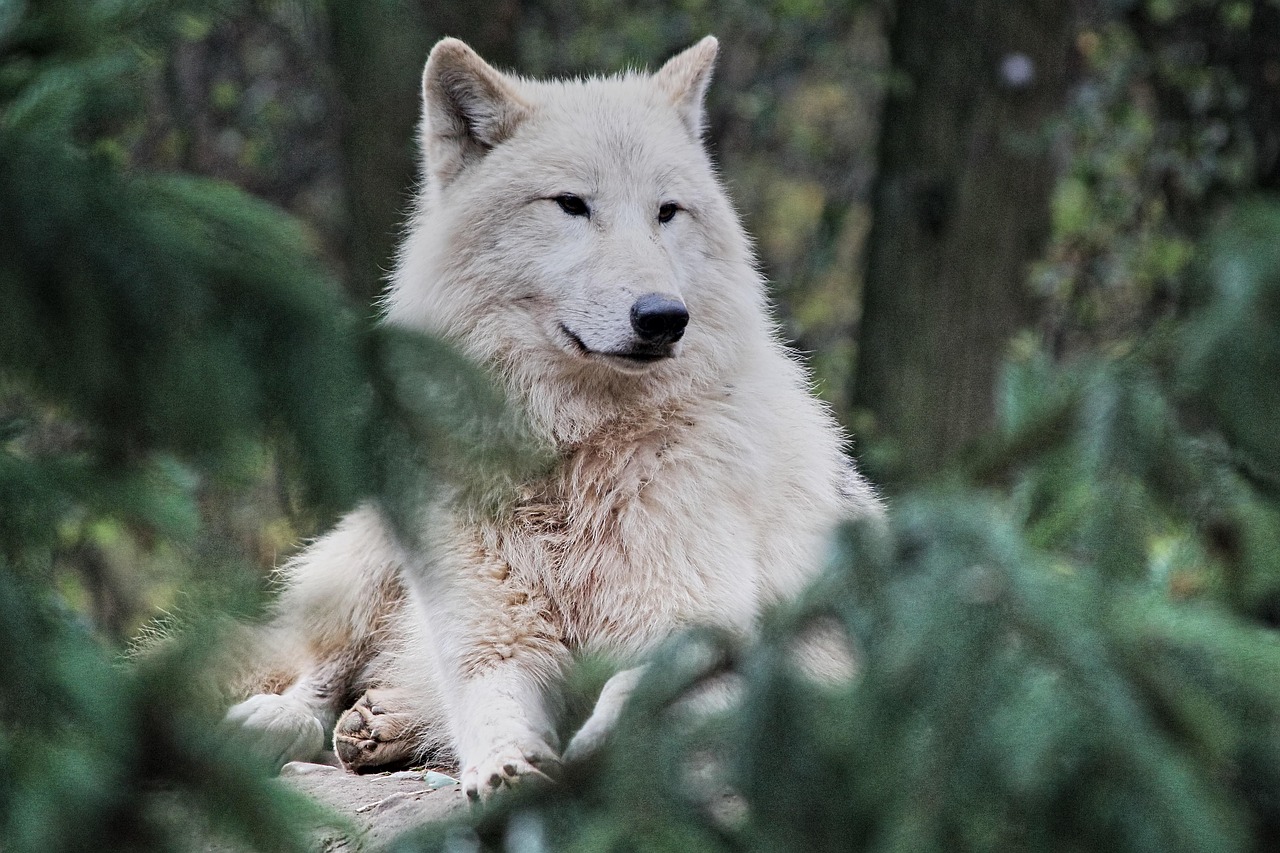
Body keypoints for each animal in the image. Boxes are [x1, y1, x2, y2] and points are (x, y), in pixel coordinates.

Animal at [224, 35, 883, 801]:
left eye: (667, 211)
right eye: (571, 204)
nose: (664, 316)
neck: (573, 457)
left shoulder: (702, 639)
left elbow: (633, 697)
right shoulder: (490, 636)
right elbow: (488, 702)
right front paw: (506, 767)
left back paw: (380, 724)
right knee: (317, 680)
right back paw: (287, 722)